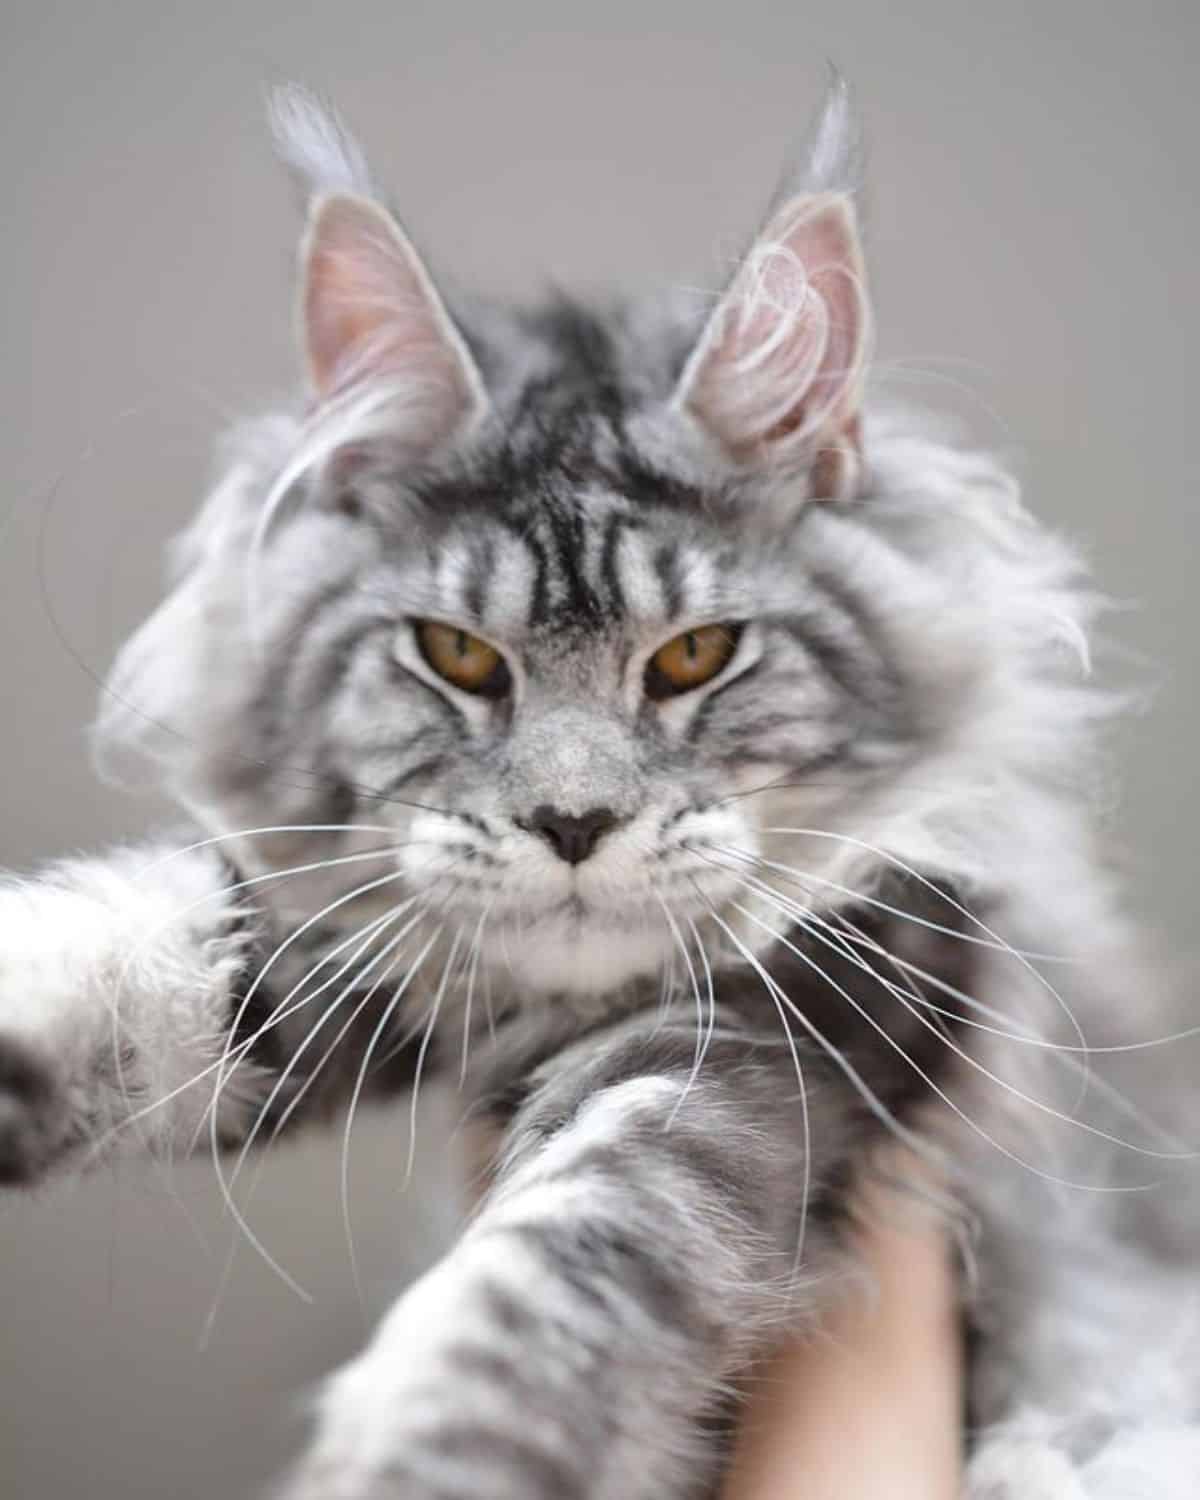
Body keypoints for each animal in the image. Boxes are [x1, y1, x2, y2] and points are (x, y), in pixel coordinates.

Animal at [2, 76, 1200, 1494]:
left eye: (695, 656)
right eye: (459, 654)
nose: (571, 822)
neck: (563, 1007)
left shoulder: (781, 1032)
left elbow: (552, 1272)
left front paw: (421, 1461)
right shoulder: (365, 944)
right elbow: (134, 941)